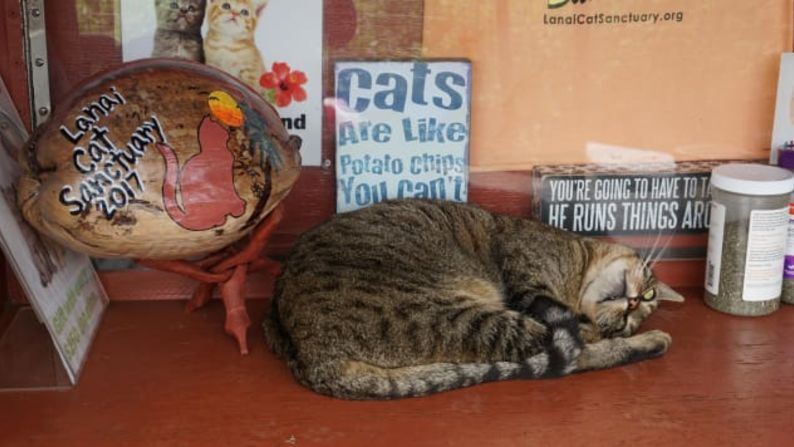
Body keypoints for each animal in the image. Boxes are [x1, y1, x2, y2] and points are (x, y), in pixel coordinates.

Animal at [262, 200, 684, 400]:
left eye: (639, 309)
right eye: (648, 292)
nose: (633, 307)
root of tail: (312, 356)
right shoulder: (530, 280)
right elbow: (585, 339)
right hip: (470, 318)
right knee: (570, 358)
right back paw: (653, 342)